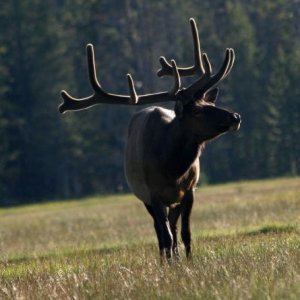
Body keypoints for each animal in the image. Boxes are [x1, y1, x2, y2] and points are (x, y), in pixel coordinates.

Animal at [59, 18, 241, 260]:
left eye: (209, 103)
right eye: (197, 112)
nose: (235, 116)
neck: (173, 169)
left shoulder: (190, 190)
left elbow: (186, 232)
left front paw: (189, 260)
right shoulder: (152, 194)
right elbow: (166, 235)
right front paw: (169, 261)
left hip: (173, 200)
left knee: (173, 225)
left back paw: (176, 256)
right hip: (143, 196)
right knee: (160, 230)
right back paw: (166, 258)